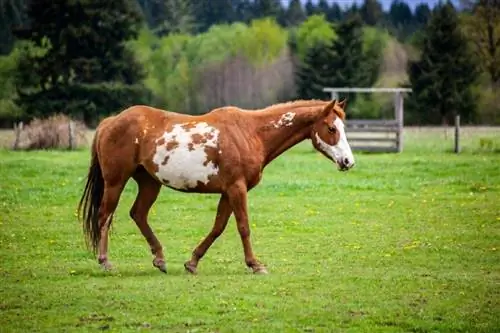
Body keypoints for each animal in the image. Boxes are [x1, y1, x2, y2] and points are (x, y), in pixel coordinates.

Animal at [77, 98, 356, 274]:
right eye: (331, 128)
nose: (348, 161)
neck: (250, 132)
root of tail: (110, 122)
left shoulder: (229, 191)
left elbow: (218, 227)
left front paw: (192, 262)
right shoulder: (236, 189)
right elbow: (243, 227)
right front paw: (255, 264)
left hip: (149, 183)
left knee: (138, 214)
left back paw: (160, 258)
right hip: (116, 182)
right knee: (104, 216)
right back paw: (105, 262)